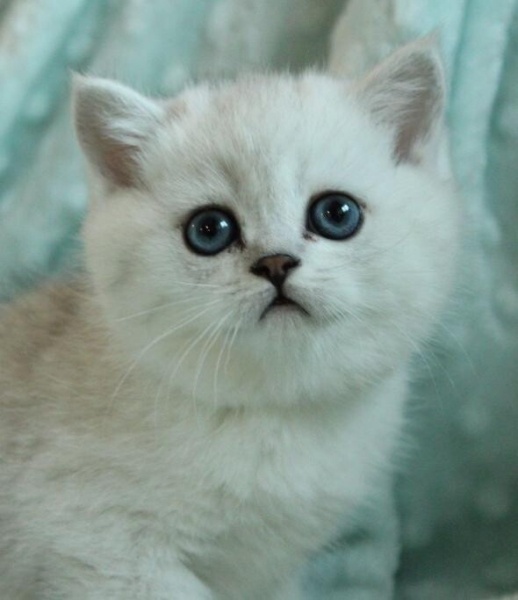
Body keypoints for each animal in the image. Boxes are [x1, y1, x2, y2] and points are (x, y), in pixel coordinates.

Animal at [0, 39, 464, 596]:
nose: (276, 263)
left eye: (336, 214)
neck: (274, 413)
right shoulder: (100, 550)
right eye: (209, 229)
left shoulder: (266, 570)